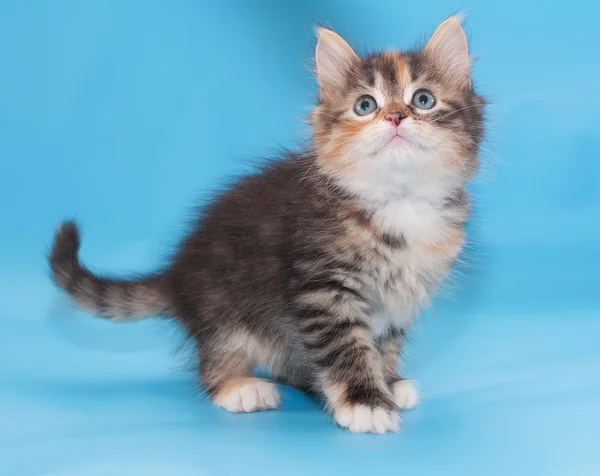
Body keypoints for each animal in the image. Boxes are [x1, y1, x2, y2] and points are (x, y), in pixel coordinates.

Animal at [49, 14, 486, 434]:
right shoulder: (322, 289)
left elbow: (385, 343)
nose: (395, 116)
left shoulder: (401, 298)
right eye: (365, 105)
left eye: (423, 100)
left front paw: (389, 383)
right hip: (223, 307)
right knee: (215, 355)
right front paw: (366, 403)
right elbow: (347, 347)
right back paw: (238, 387)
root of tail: (177, 276)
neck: (398, 199)